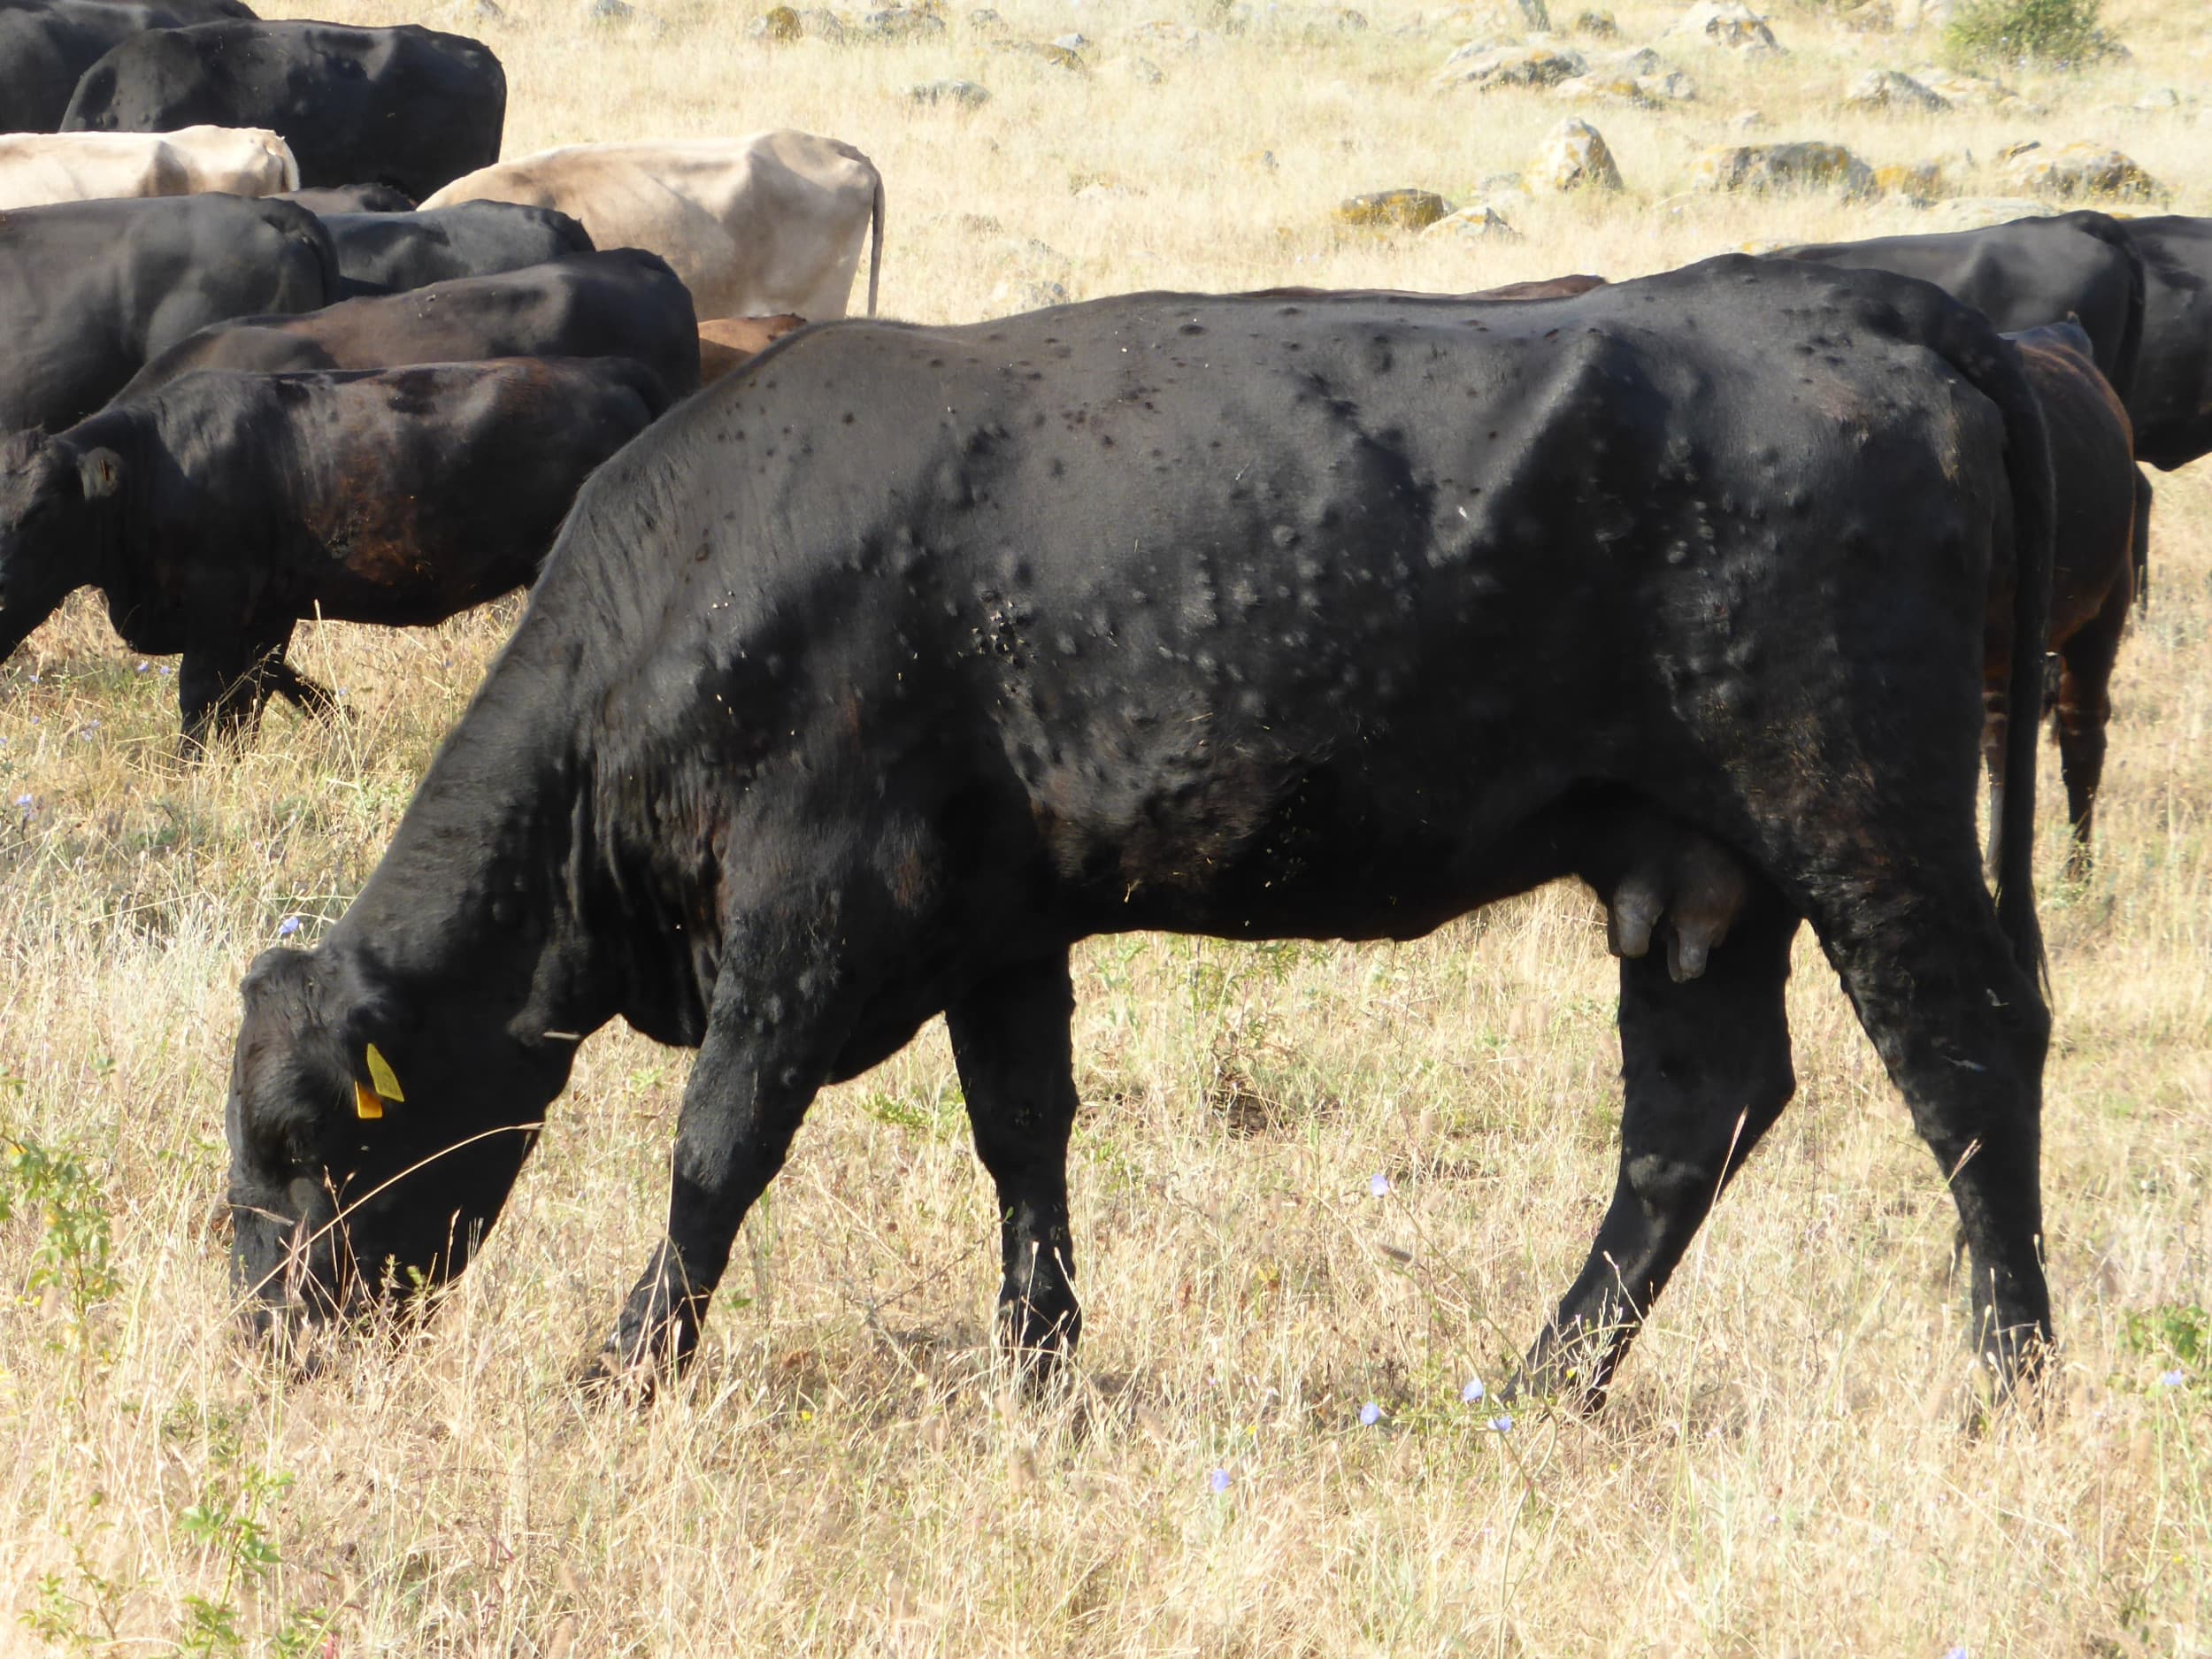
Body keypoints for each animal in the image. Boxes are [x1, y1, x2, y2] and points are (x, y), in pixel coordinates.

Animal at [0, 357, 669, 748]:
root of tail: (611, 373)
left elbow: (206, 707)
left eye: (41, 512)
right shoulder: (267, 613)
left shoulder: (221, 616)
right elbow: (266, 691)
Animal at [220, 257, 2060, 1416]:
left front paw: (623, 1372)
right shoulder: (996, 922)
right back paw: (1543, 1384)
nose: (263, 1347)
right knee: (1695, 1117)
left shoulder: (814, 911)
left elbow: (715, 1151)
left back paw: (2012, 1375)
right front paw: (1041, 1374)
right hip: (1696, 874)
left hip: (1860, 812)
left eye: (305, 1139)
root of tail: (1853, 300)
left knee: (1966, 1058)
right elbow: (1023, 1136)